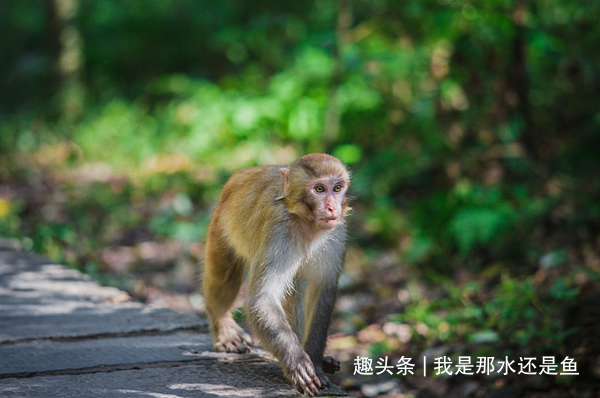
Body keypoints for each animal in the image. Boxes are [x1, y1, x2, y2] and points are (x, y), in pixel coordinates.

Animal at [203, 154, 352, 396]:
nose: (332, 208)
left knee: (296, 287)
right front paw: (296, 361)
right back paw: (223, 325)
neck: (306, 223)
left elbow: (323, 291)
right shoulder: (279, 233)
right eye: (319, 189)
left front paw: (315, 363)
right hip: (220, 226)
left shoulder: (336, 235)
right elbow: (263, 299)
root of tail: (244, 173)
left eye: (337, 188)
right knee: (224, 273)